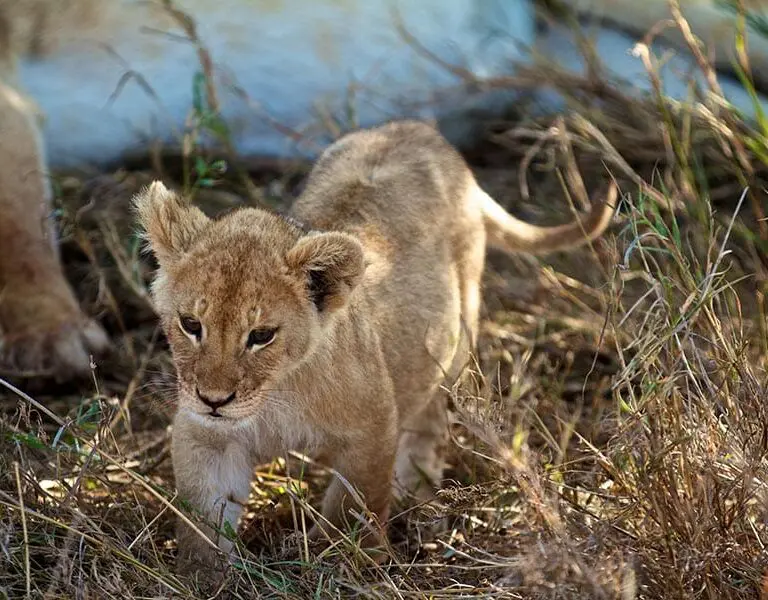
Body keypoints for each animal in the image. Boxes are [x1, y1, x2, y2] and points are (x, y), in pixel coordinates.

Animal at [134, 119, 617, 573]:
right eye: (191, 325)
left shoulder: (372, 427)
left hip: (453, 341)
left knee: (430, 418)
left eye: (261, 336)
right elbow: (204, 514)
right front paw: (205, 575)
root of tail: (421, 132)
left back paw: (416, 493)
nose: (214, 399)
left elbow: (353, 505)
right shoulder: (206, 435)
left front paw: (345, 561)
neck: (277, 394)